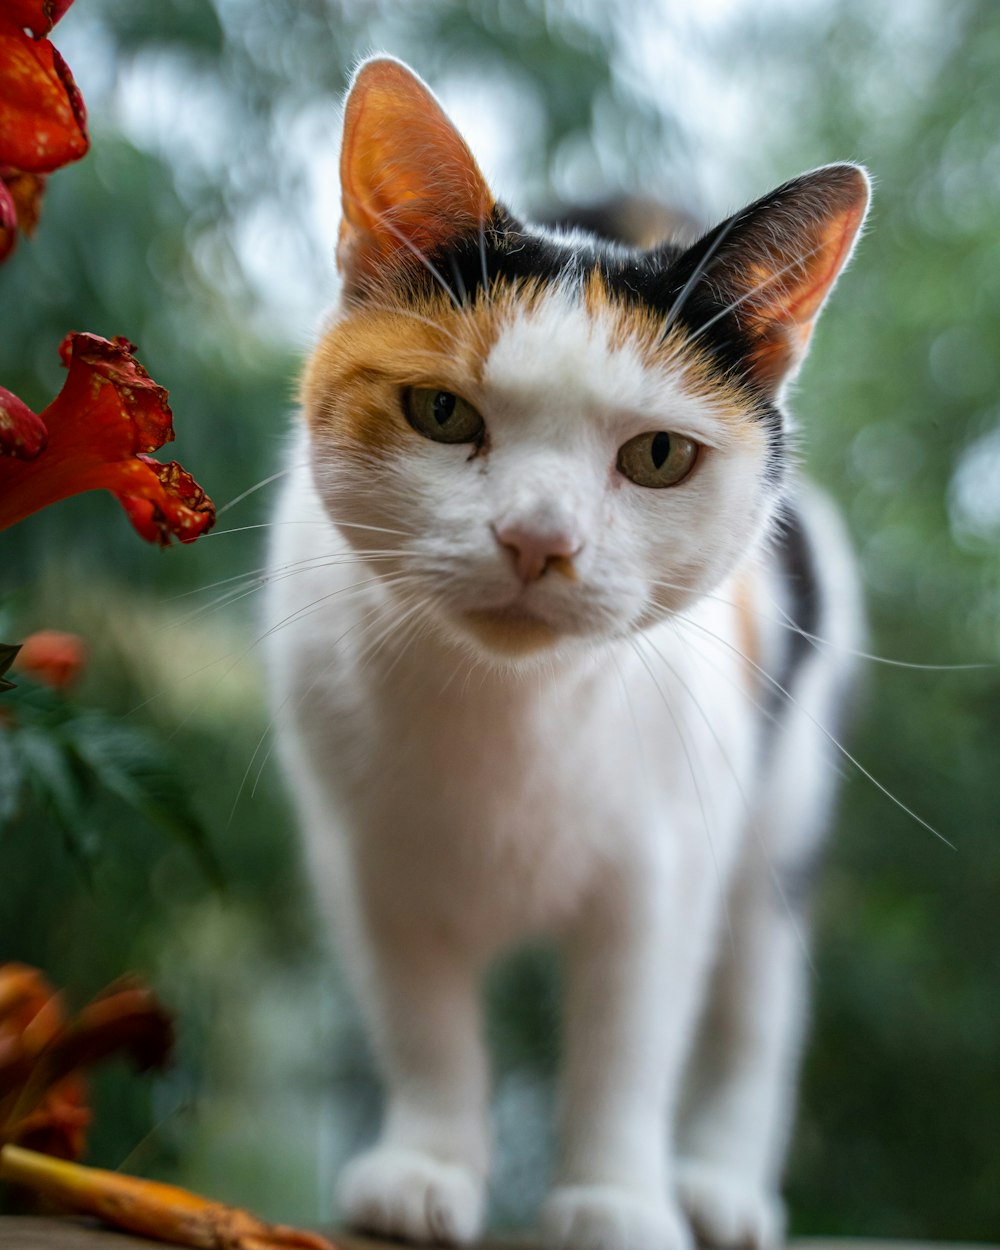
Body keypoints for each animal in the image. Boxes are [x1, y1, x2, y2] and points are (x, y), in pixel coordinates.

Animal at [263, 53, 865, 1250]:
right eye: (441, 411)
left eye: (659, 455)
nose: (537, 538)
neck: (508, 714)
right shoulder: (367, 862)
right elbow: (424, 1024)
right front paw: (425, 1166)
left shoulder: (662, 872)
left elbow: (629, 1049)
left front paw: (616, 1198)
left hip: (776, 817)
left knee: (756, 1006)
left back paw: (718, 1184)